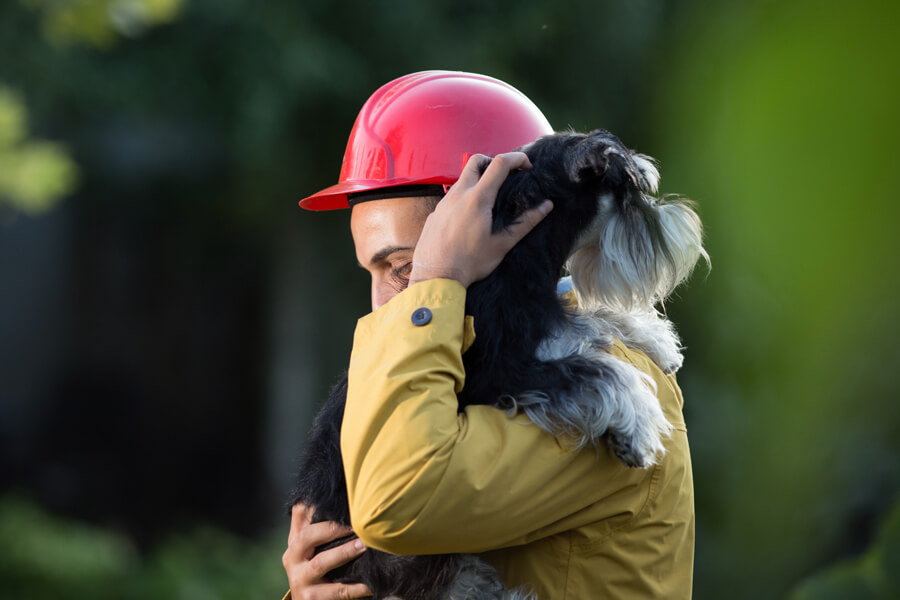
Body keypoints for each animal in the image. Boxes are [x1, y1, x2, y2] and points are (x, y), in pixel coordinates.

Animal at [290, 131, 712, 600]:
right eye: (631, 189)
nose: (684, 225)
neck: (516, 249)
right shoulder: (502, 370)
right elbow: (602, 371)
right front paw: (637, 427)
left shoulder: (545, 318)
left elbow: (591, 320)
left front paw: (656, 341)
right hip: (409, 556)